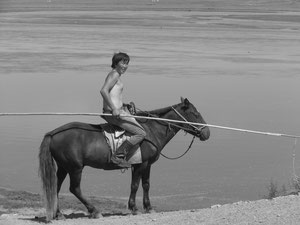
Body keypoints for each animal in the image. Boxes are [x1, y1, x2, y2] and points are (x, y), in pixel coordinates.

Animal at [38, 97, 210, 221]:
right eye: (195, 114)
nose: (207, 133)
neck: (150, 131)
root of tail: (53, 133)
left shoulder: (147, 165)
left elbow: (146, 185)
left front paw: (148, 207)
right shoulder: (140, 165)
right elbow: (135, 185)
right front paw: (134, 208)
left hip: (63, 167)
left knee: (56, 187)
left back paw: (59, 214)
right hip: (75, 168)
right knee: (75, 189)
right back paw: (94, 211)